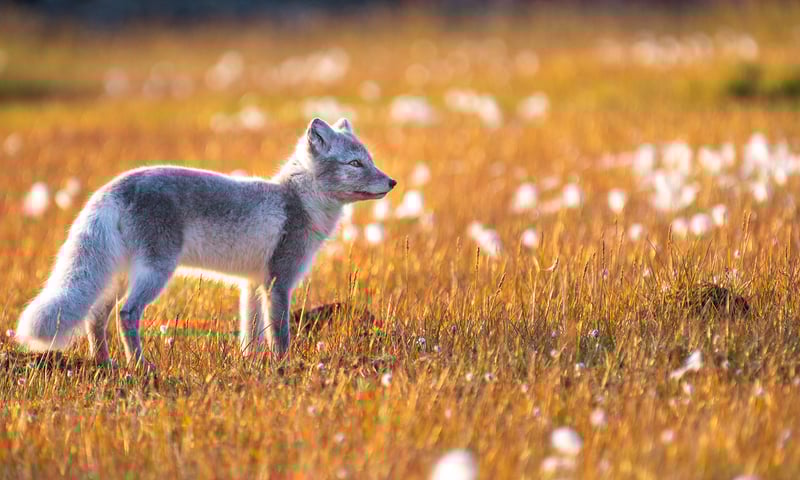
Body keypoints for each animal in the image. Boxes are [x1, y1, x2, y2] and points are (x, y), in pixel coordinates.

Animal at [15, 117, 396, 370]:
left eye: (370, 160)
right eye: (355, 163)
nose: (392, 181)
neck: (299, 200)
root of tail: (112, 187)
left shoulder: (252, 283)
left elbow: (251, 334)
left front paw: (250, 366)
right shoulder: (278, 282)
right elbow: (280, 335)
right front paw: (284, 369)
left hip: (117, 277)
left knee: (96, 318)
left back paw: (105, 365)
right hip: (154, 273)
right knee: (126, 313)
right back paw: (140, 367)